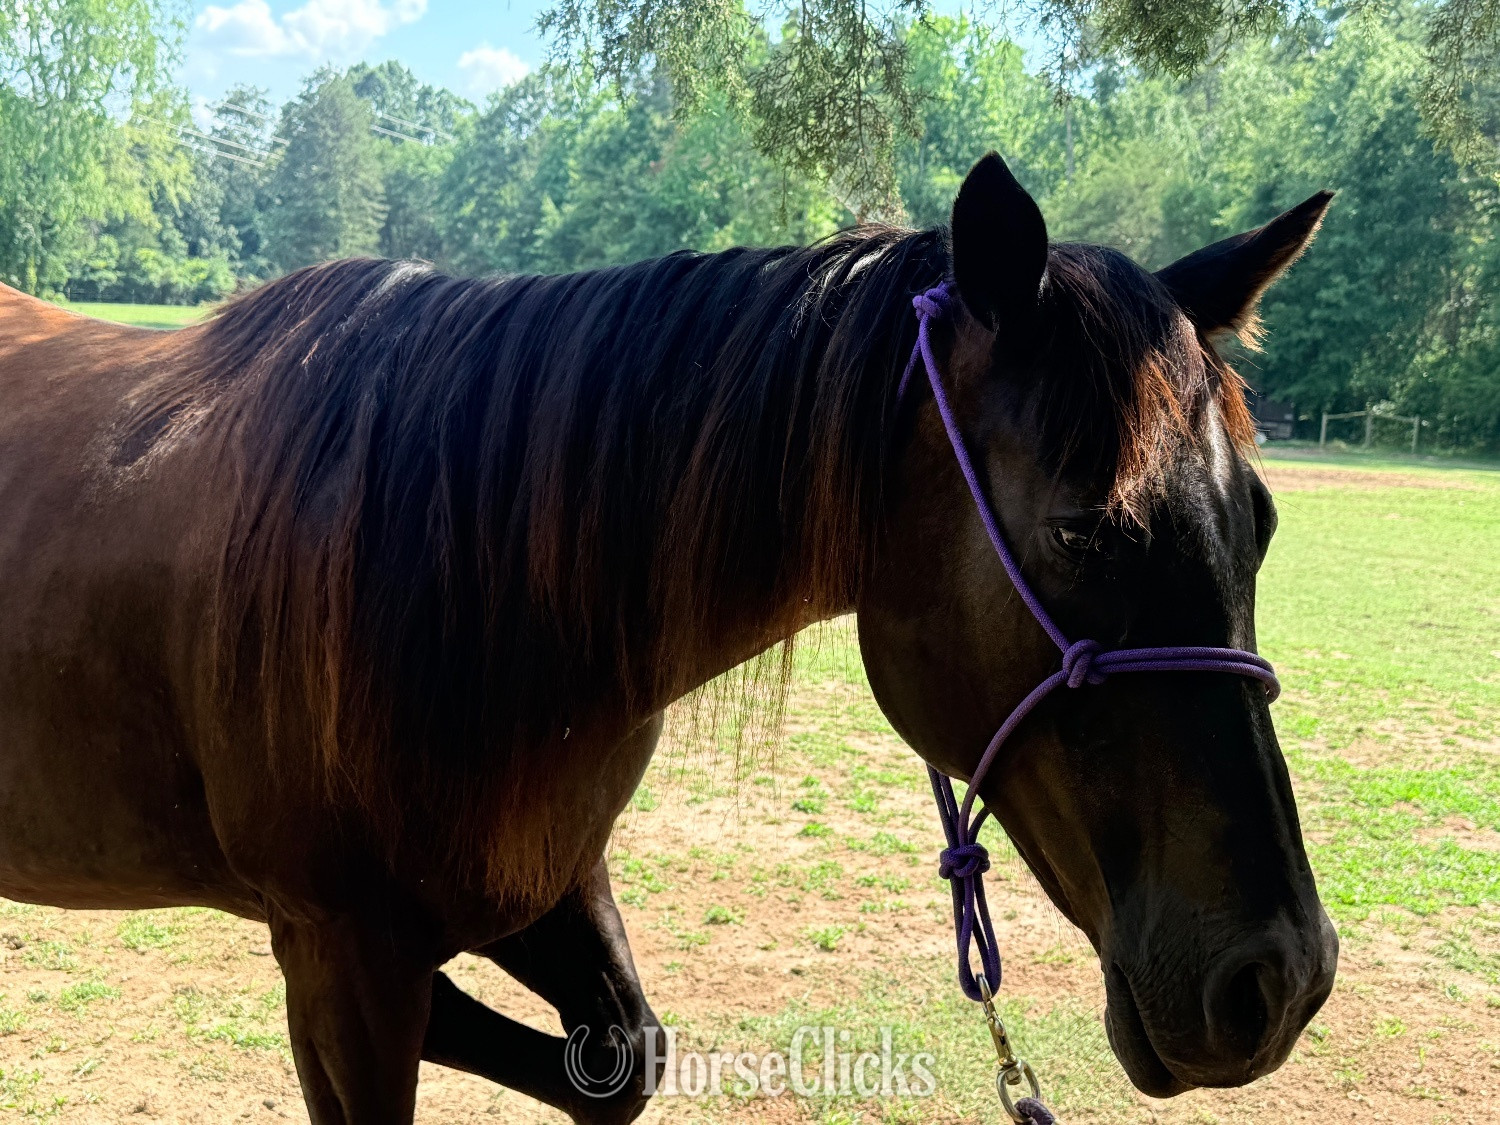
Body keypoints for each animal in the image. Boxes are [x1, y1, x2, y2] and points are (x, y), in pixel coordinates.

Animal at [0, 153, 1337, 1123]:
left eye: (1263, 523)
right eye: (1079, 533)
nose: (1279, 980)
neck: (443, 568)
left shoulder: (546, 883)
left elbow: (618, 1060)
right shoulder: (340, 963)